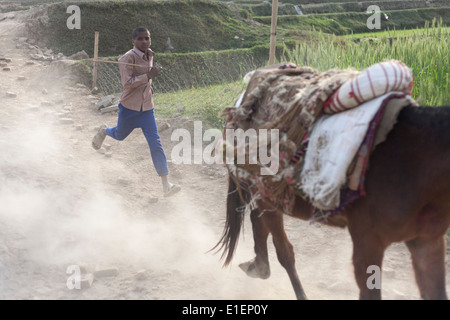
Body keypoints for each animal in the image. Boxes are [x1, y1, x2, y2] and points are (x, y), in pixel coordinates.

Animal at [214, 105, 450, 300]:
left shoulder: (426, 242)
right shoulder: (367, 243)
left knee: (257, 219)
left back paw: (258, 266)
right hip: (267, 197)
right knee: (284, 251)